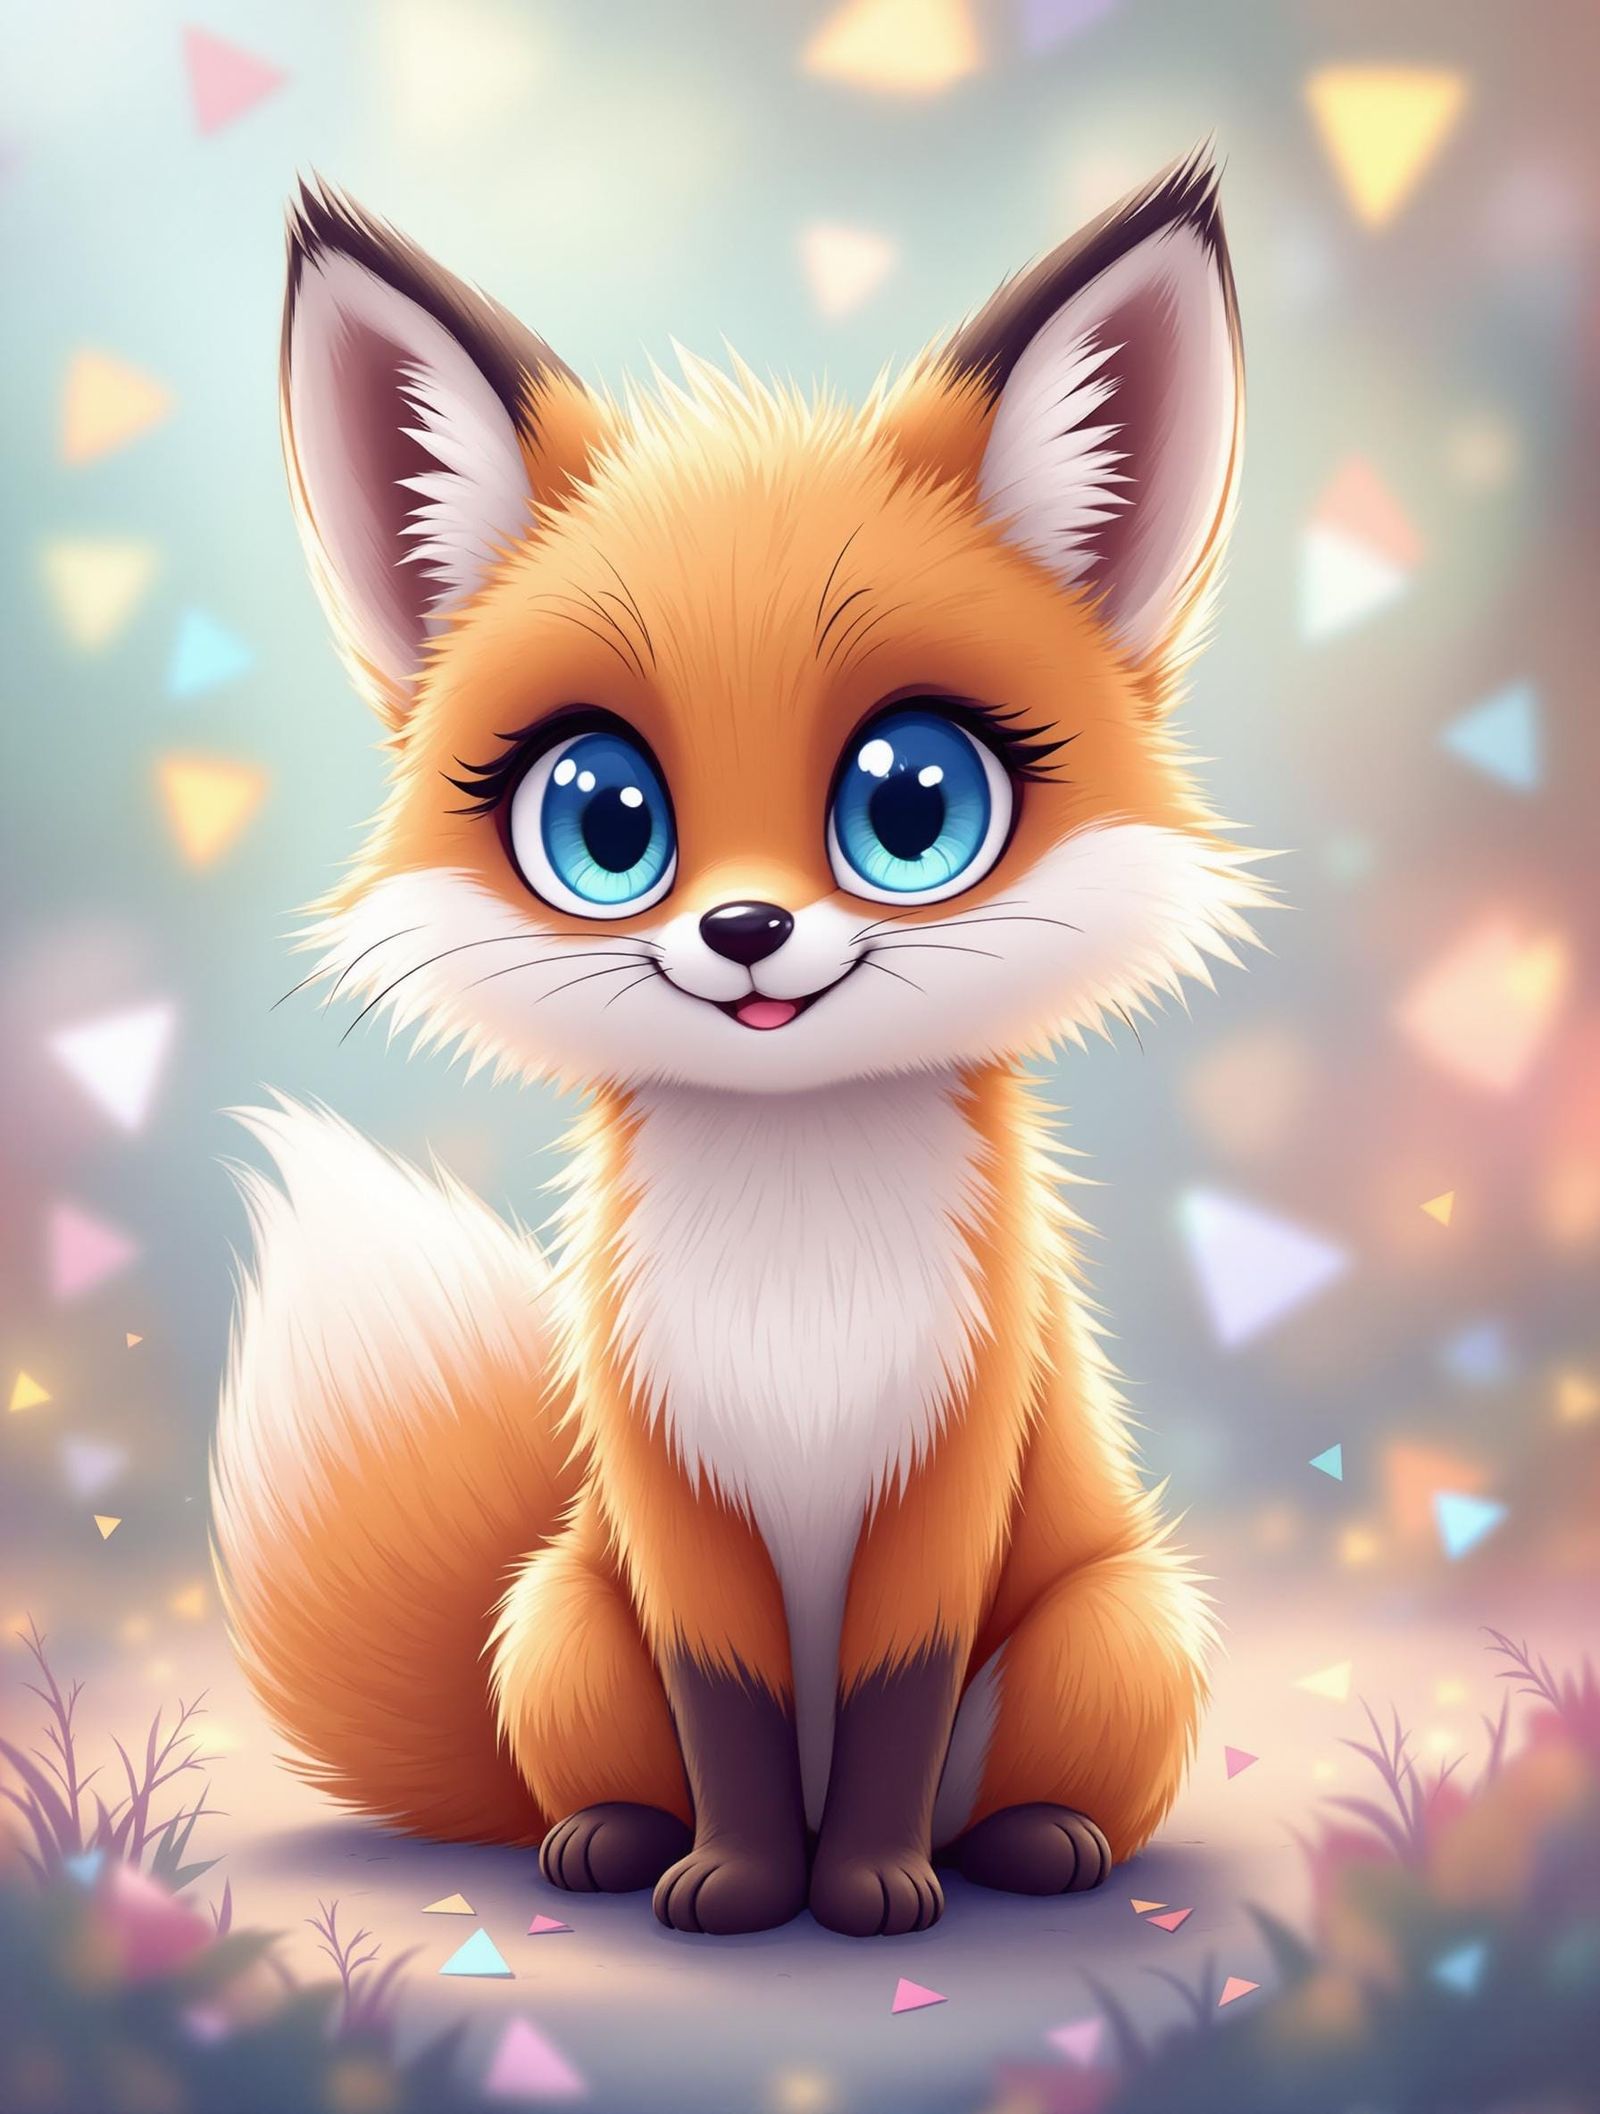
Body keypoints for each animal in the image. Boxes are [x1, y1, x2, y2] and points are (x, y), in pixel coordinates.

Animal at [211, 148, 1261, 1938]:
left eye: (914, 805)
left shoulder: (954, 1455)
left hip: (1115, 1626)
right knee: (594, 1769)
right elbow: (737, 1703)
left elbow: (898, 1693)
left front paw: (873, 1886)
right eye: (605, 819)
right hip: (560, 1614)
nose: (749, 932)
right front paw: (748, 1880)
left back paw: (1033, 1843)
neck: (798, 1257)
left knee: (1042, 1779)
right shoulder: (665, 1475)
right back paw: (612, 1838)